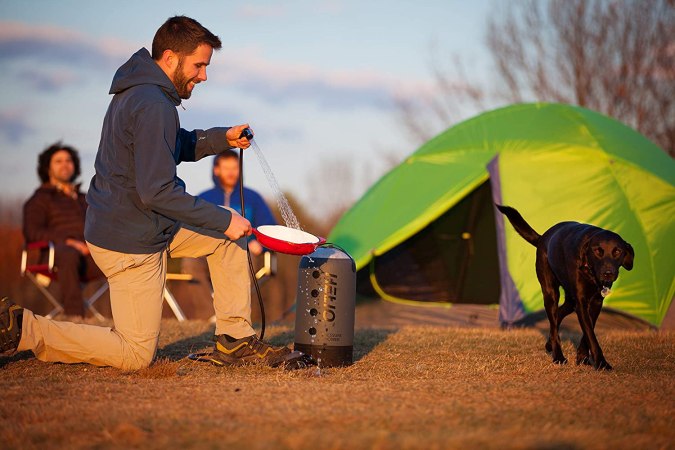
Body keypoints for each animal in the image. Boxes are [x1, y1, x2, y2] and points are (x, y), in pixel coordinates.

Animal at [496, 206, 632, 370]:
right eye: (597, 251)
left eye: (617, 251)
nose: (608, 273)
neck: (590, 272)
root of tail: (543, 237)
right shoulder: (581, 303)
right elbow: (591, 335)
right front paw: (601, 363)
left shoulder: (595, 302)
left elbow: (589, 332)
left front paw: (582, 357)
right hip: (551, 292)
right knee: (554, 323)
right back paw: (558, 356)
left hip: (569, 299)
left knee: (558, 316)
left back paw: (549, 344)